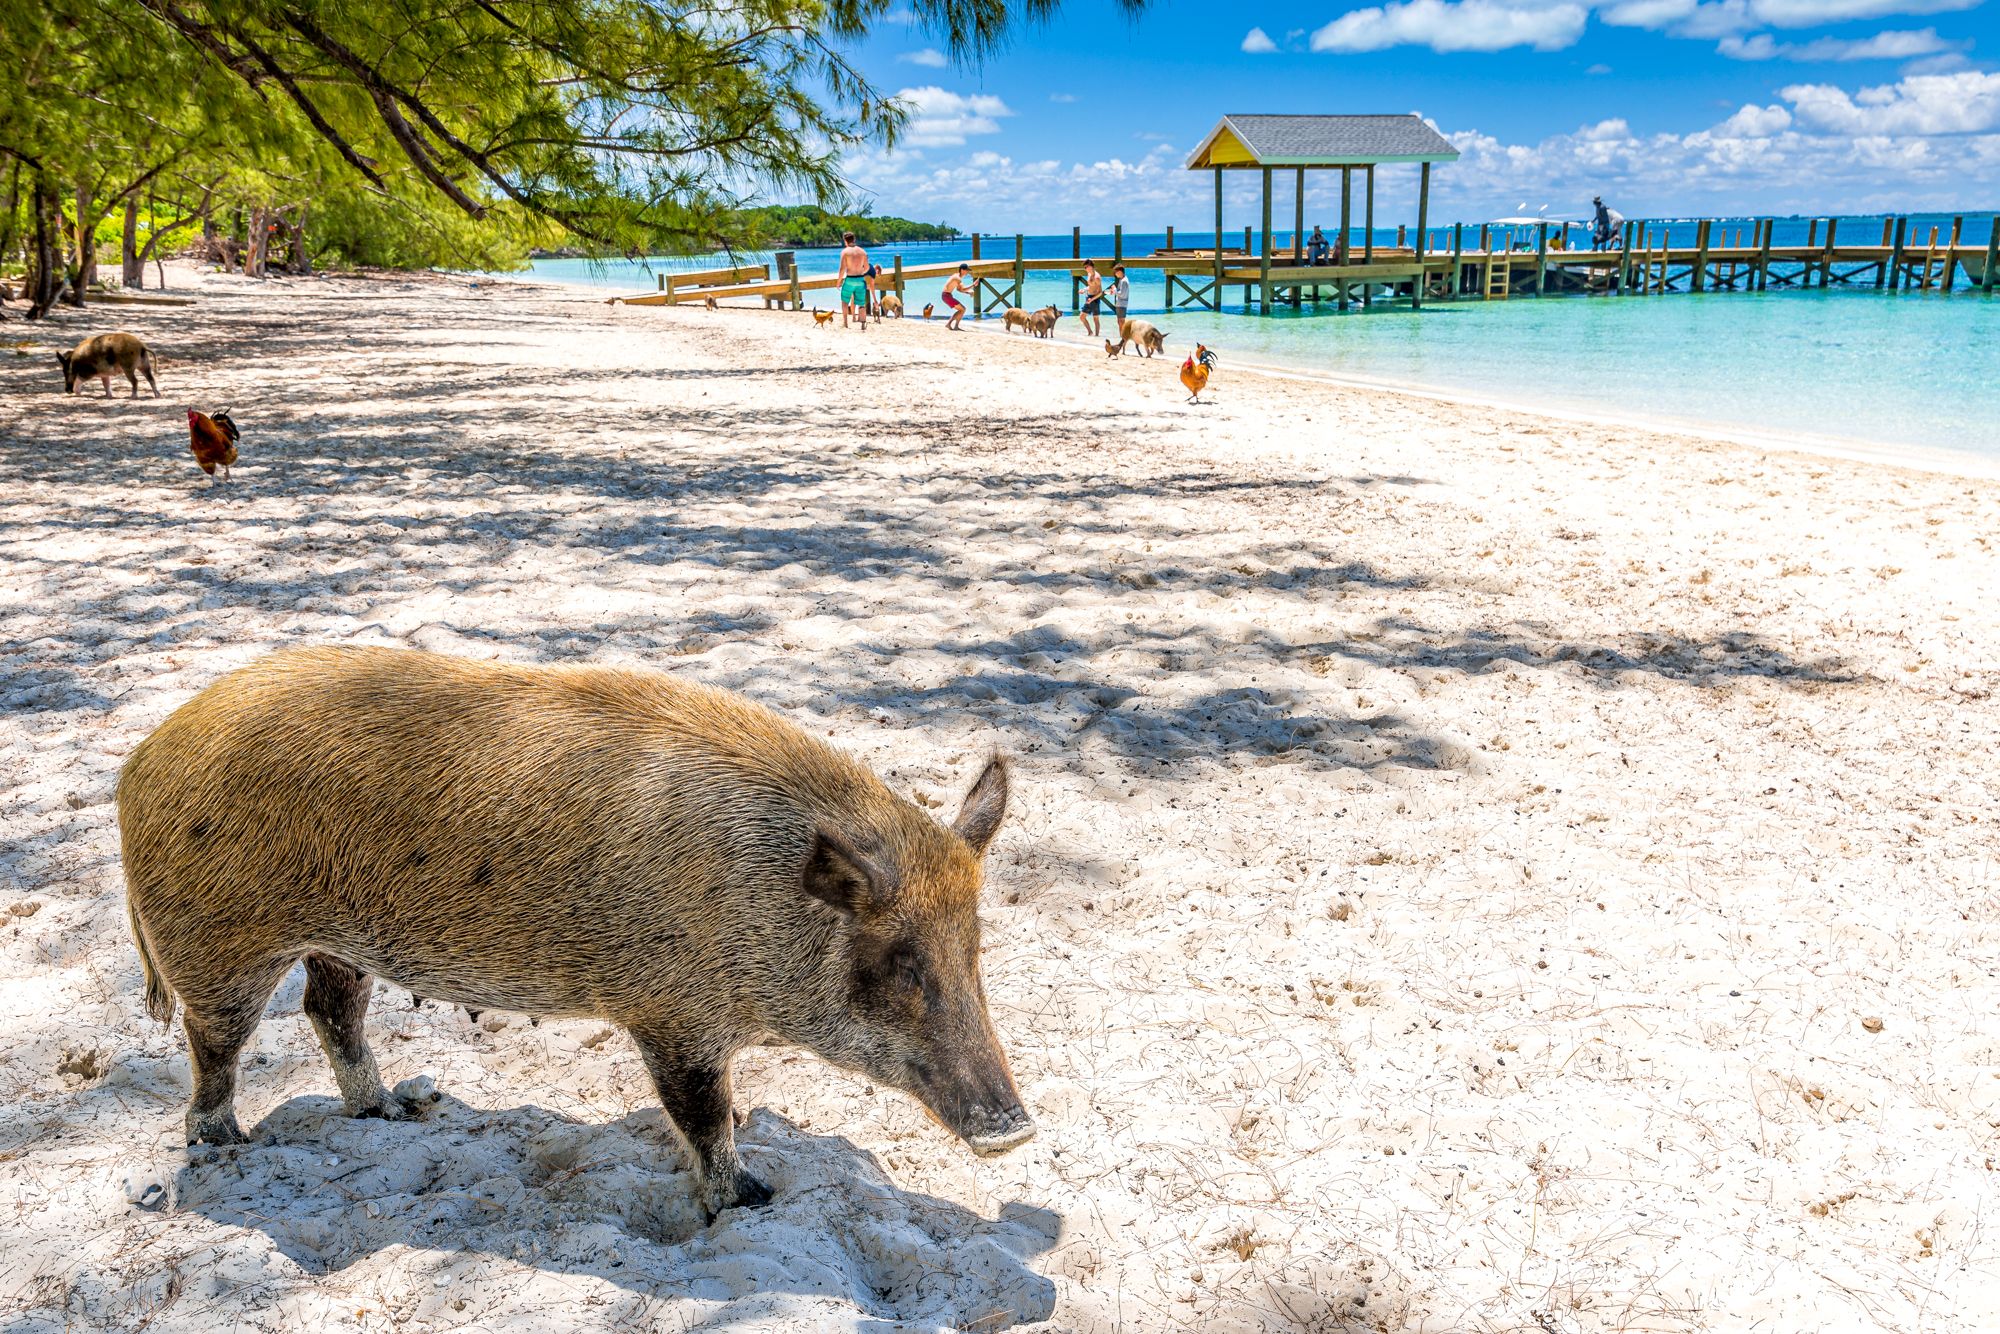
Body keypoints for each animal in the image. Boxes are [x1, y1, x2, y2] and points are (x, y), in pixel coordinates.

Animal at [113, 648, 1032, 1224]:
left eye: (976, 949)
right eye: (899, 963)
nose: (1015, 1130)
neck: (761, 901)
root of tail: (140, 759)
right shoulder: (671, 1015)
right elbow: (703, 1114)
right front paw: (750, 1201)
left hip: (340, 942)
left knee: (329, 1009)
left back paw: (395, 1112)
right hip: (219, 942)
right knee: (215, 1044)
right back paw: (230, 1146)